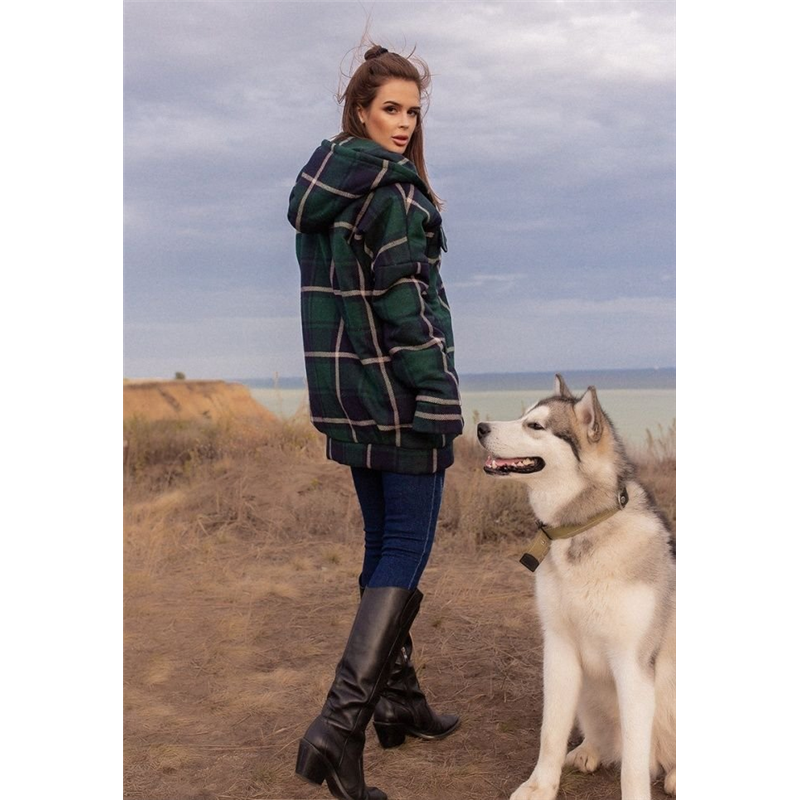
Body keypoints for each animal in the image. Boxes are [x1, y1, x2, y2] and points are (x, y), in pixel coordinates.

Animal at [478, 375, 676, 800]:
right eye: (522, 415)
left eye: (535, 426)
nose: (481, 427)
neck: (582, 528)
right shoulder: (559, 649)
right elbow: (551, 732)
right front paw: (540, 786)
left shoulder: (633, 665)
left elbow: (633, 765)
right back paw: (588, 751)